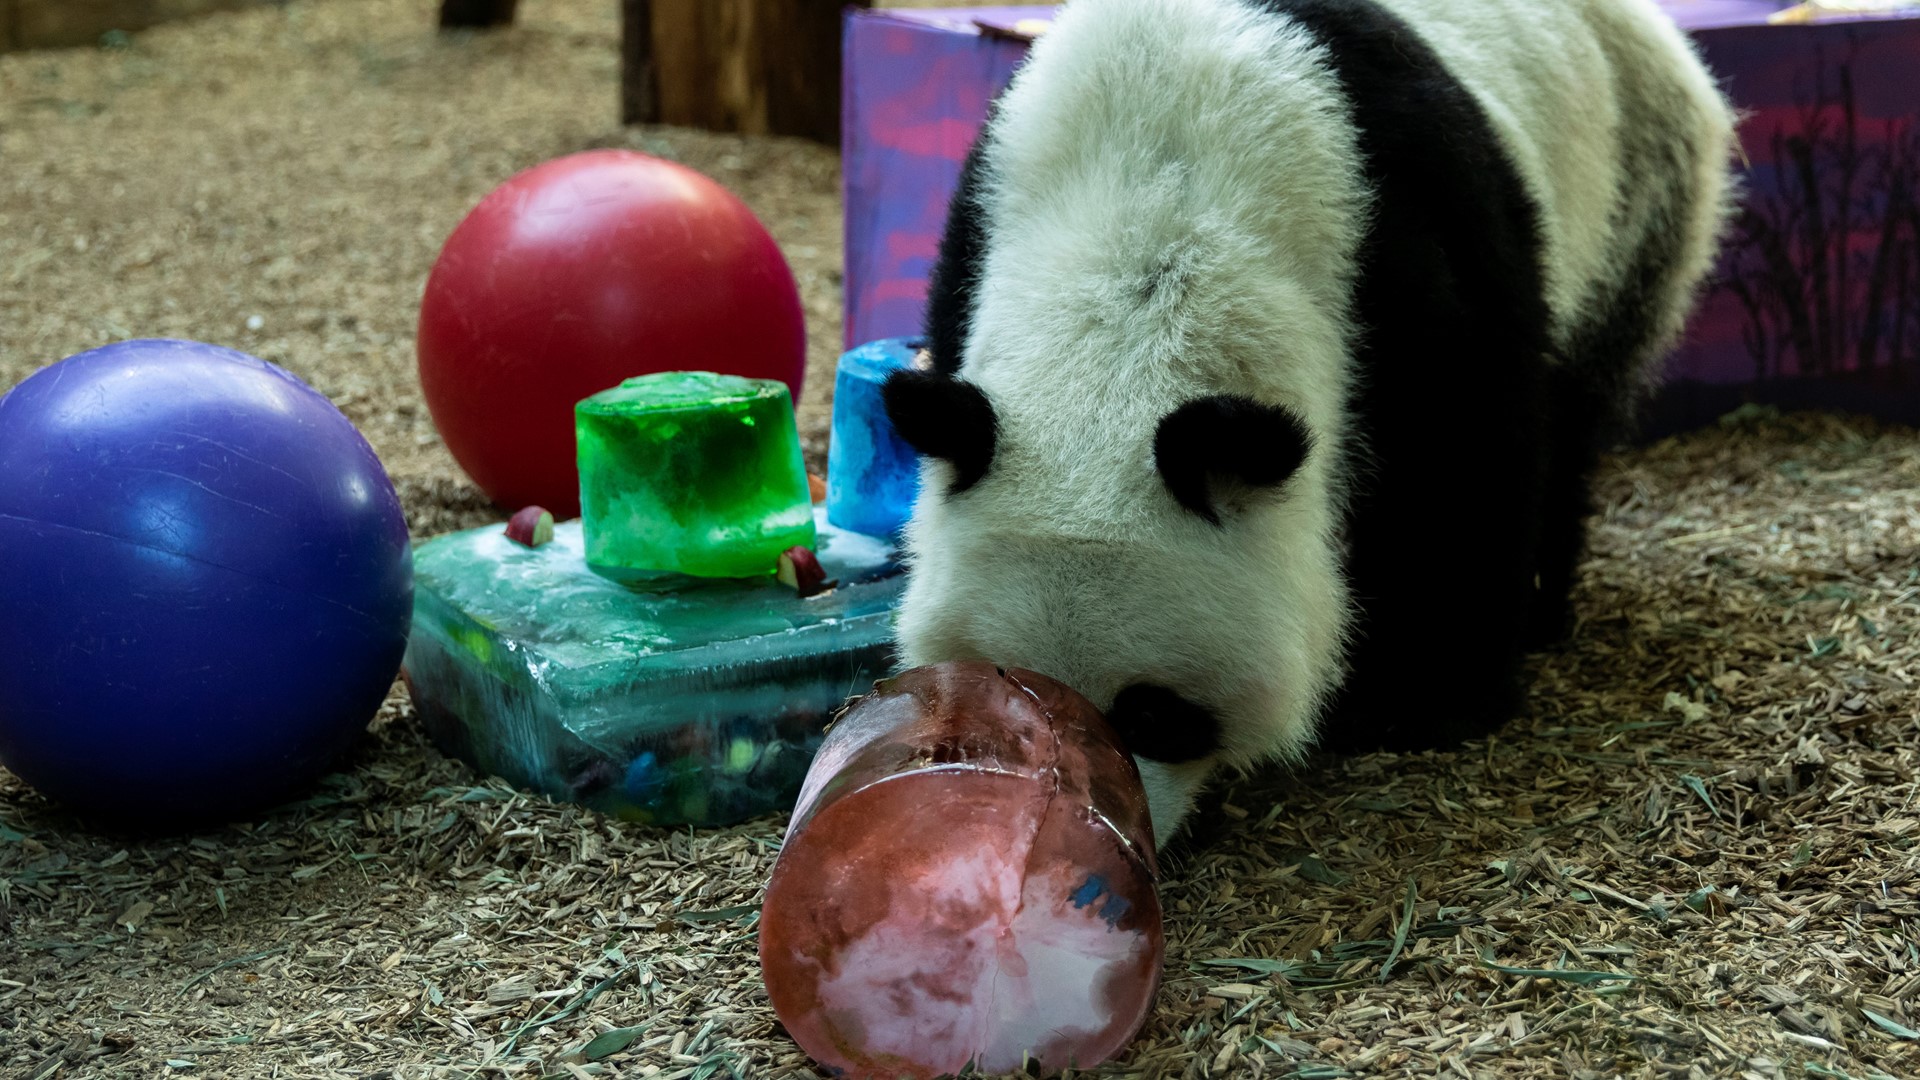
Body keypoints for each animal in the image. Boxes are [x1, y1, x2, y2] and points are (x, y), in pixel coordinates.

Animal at [883, 0, 1743, 841]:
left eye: (1155, 713)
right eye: (1018, 699)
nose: (1117, 826)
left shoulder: (1402, 251)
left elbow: (1465, 465)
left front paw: (1429, 702)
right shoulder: (982, 227)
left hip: (1640, 184)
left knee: (1573, 410)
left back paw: (1543, 610)